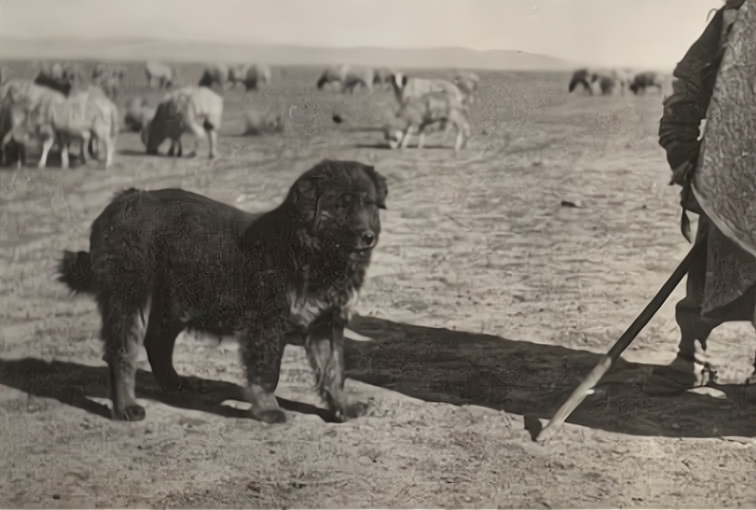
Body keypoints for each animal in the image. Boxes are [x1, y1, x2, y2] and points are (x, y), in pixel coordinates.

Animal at [57, 159, 390, 422]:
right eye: (341, 204)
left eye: (368, 204)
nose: (368, 237)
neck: (311, 251)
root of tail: (121, 201)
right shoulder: (267, 324)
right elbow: (268, 372)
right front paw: (268, 409)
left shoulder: (325, 324)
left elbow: (333, 371)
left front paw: (343, 407)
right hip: (129, 297)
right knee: (122, 353)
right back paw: (126, 406)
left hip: (176, 301)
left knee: (157, 342)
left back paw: (172, 384)